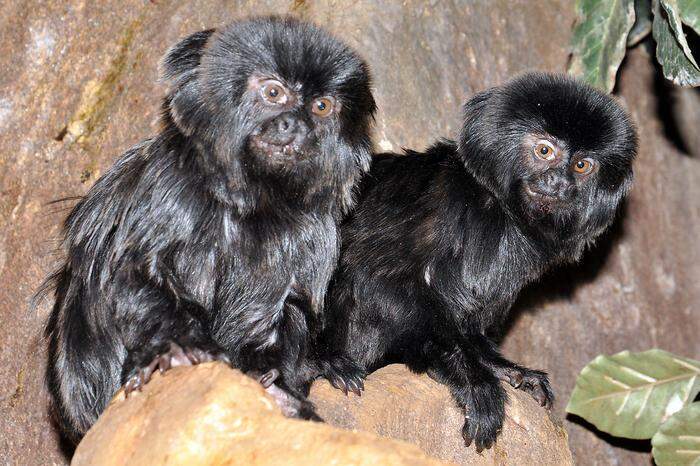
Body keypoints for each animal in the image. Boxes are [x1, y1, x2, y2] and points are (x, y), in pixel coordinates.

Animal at [41, 16, 374, 442]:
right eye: (273, 93)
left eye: (321, 106)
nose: (295, 125)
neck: (251, 200)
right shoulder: (169, 184)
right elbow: (130, 273)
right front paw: (180, 347)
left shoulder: (312, 230)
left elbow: (282, 307)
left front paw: (281, 377)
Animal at [320, 73, 636, 452]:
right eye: (544, 151)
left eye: (582, 165)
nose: (558, 182)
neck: (500, 211)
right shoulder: (442, 203)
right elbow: (377, 275)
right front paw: (471, 378)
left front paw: (502, 367)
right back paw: (329, 362)